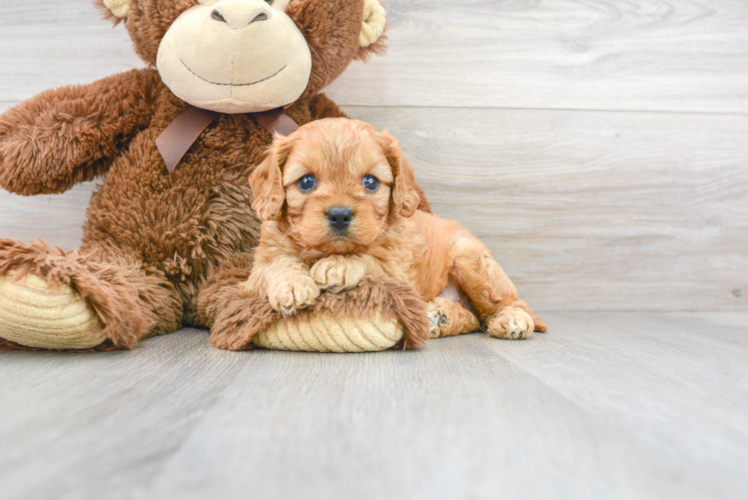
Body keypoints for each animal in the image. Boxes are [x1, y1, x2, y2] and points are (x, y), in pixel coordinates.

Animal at [243, 117, 548, 340]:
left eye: (370, 182)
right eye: (306, 182)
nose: (340, 215)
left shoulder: (398, 275)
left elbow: (368, 259)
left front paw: (339, 265)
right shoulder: (255, 272)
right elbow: (277, 264)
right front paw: (292, 285)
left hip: (472, 263)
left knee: (505, 305)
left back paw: (511, 320)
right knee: (473, 318)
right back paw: (438, 317)